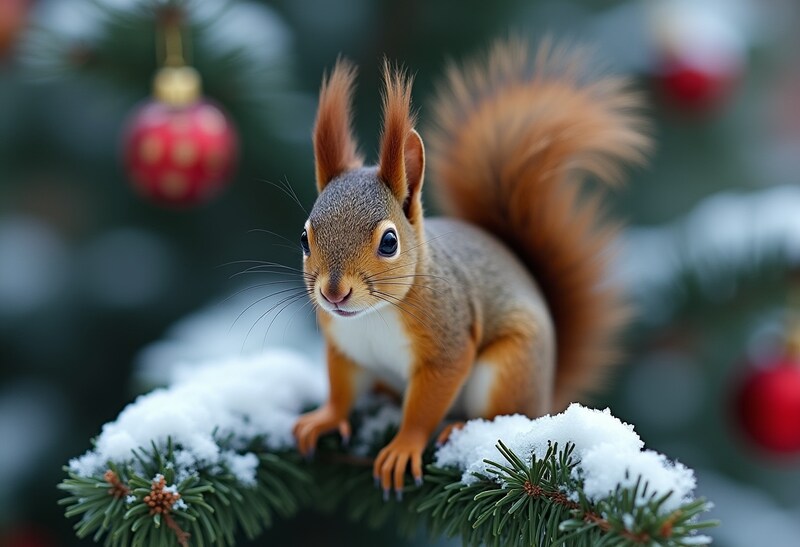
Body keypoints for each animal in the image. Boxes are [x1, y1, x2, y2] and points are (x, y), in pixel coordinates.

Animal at [292, 38, 650, 497]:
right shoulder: (343, 345)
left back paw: (462, 426)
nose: (333, 293)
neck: (373, 315)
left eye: (389, 242)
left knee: (503, 417)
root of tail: (546, 395)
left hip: (508, 369)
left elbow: (426, 404)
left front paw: (403, 447)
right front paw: (324, 418)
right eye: (304, 238)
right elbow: (340, 390)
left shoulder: (448, 340)